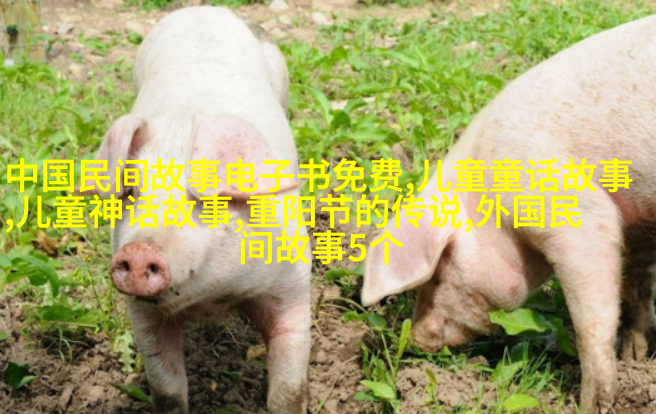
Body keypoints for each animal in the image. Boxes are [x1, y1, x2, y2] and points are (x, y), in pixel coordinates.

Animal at [77, 7, 311, 414]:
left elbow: (288, 387)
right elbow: (167, 389)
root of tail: (207, 9)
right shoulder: (142, 313)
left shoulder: (295, 282)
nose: (139, 251)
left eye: (206, 200)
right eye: (130, 192)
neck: (214, 299)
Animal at [361, 14, 656, 414]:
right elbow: (636, 284)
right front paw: (635, 356)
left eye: (436, 277)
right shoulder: (638, 221)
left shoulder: (576, 214)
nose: (417, 340)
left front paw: (593, 403)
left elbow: (591, 318)